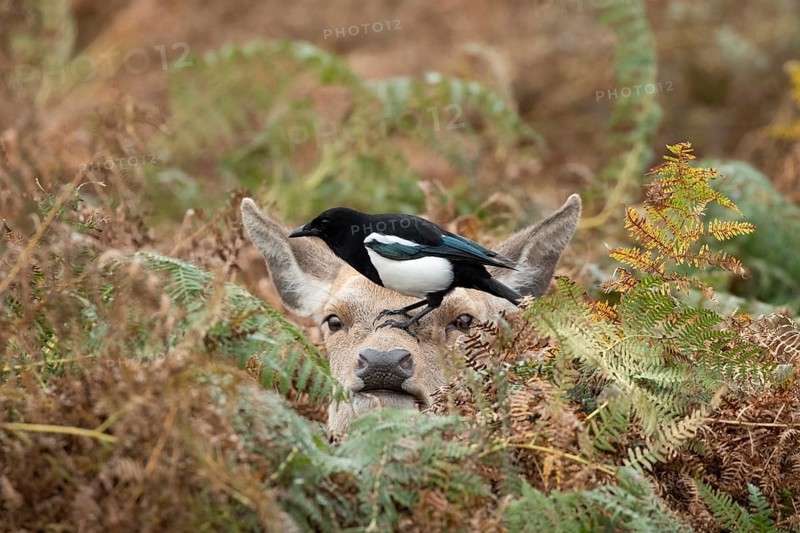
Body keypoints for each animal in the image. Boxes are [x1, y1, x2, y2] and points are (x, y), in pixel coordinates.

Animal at [240, 195, 581, 434]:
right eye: (334, 321)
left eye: (464, 321)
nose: (383, 362)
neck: (359, 244)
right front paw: (395, 312)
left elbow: (426, 304)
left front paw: (400, 320)